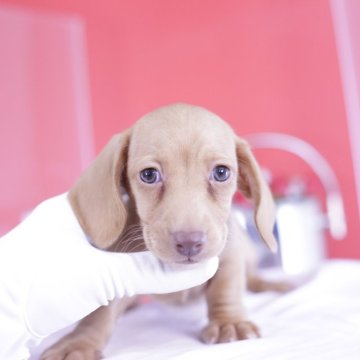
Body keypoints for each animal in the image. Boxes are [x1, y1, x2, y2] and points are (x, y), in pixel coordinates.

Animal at [41, 102, 278, 358]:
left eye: (221, 173)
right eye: (149, 175)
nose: (189, 242)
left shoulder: (231, 251)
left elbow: (226, 286)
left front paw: (229, 322)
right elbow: (101, 312)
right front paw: (79, 341)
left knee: (251, 275)